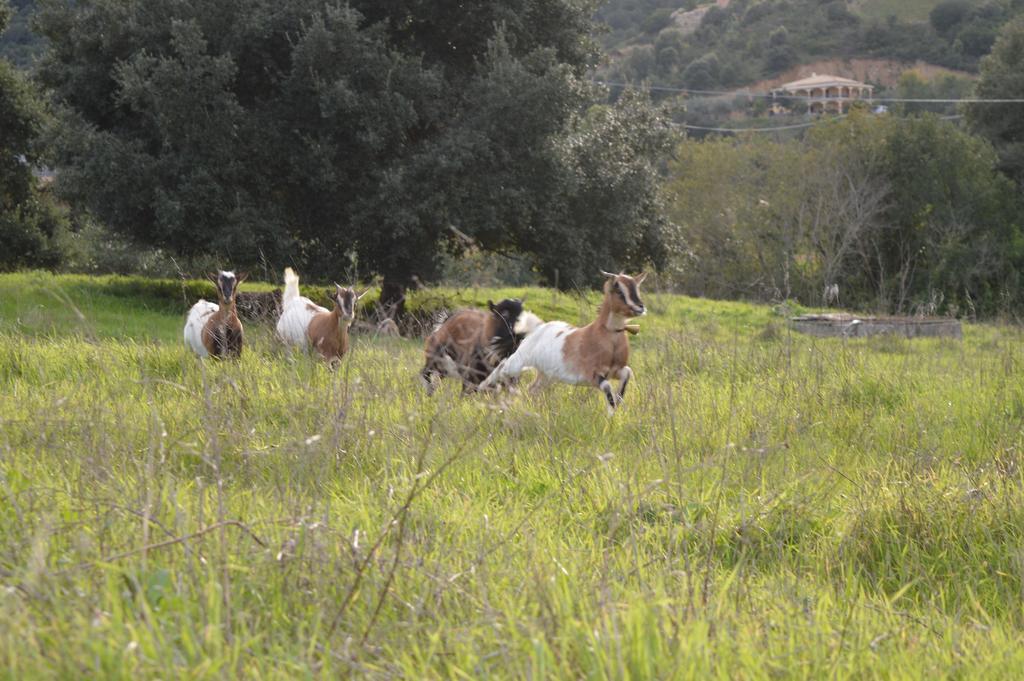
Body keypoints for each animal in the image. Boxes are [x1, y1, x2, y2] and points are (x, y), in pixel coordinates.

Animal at [479, 270, 647, 413]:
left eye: (636, 288)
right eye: (619, 290)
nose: (640, 307)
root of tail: (537, 328)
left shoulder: (616, 370)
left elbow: (628, 373)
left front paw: (617, 404)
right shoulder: (591, 374)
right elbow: (606, 386)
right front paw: (611, 412)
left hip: (546, 375)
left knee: (532, 389)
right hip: (519, 361)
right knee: (503, 365)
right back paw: (483, 387)